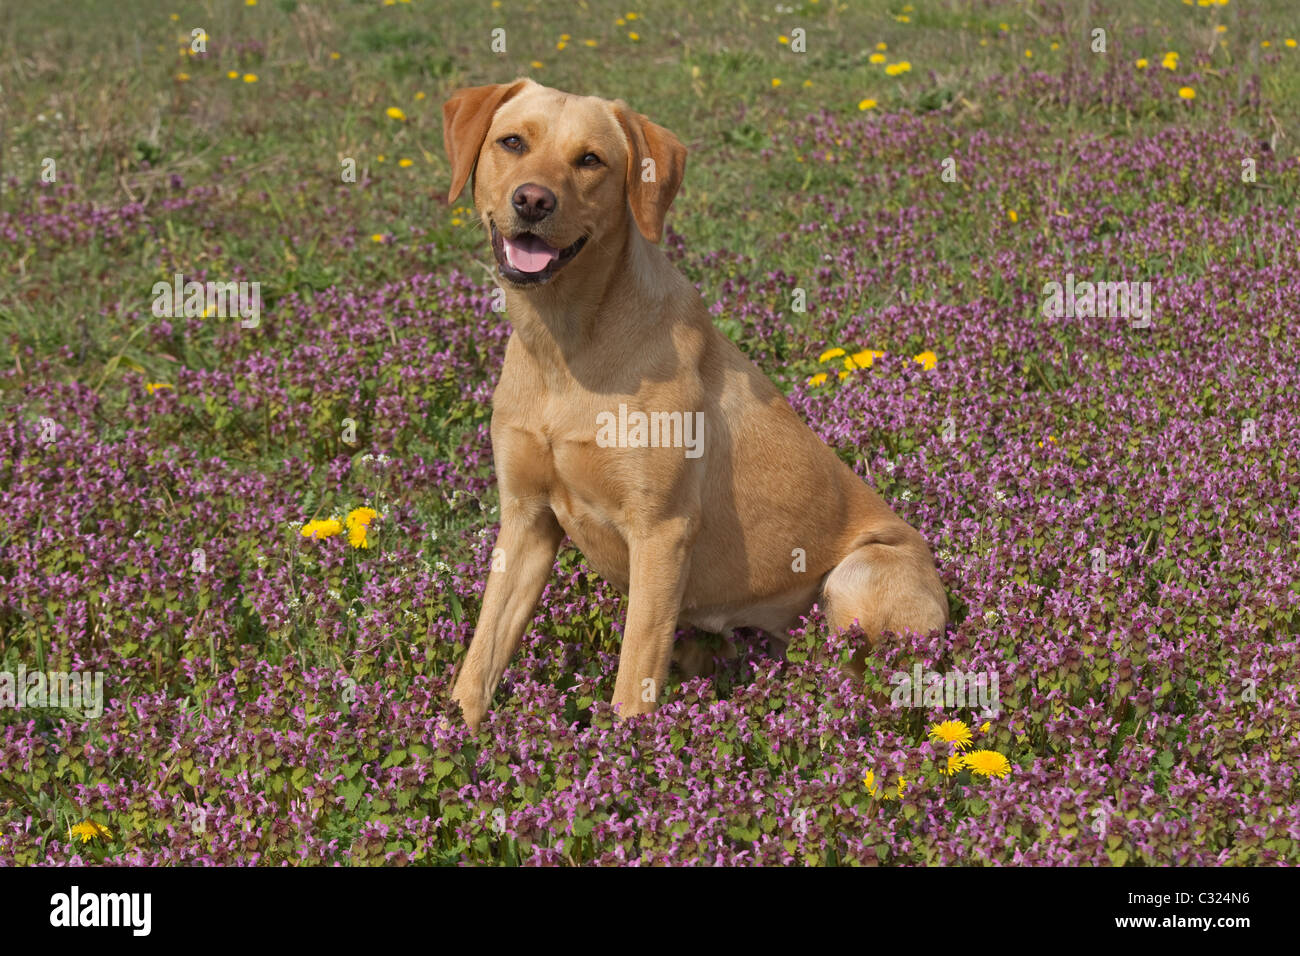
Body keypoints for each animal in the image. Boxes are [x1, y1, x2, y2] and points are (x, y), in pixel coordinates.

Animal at [441, 78, 941, 728]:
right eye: (512, 142)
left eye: (590, 160)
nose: (532, 200)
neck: (565, 344)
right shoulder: (527, 521)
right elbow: (481, 656)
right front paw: (452, 734)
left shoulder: (661, 533)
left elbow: (633, 678)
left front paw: (624, 750)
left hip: (856, 577)